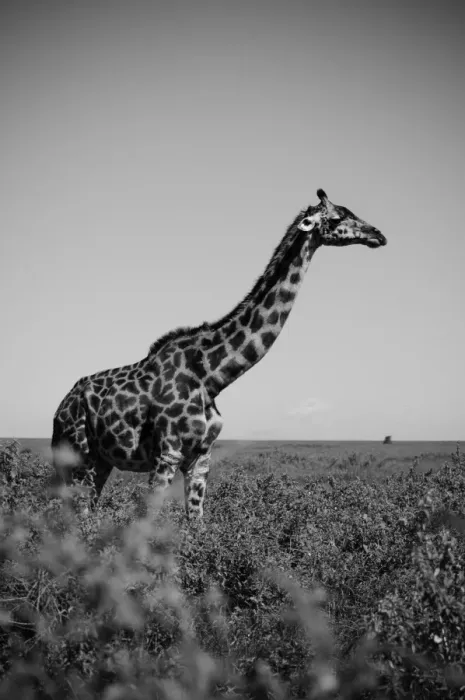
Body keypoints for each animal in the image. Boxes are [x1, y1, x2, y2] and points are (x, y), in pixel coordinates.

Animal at [52, 189, 386, 519]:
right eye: (337, 217)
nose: (378, 235)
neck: (210, 376)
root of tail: (61, 407)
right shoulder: (166, 454)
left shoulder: (201, 458)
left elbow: (197, 523)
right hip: (77, 455)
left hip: (101, 460)